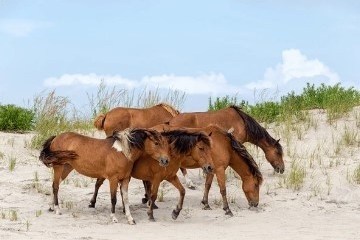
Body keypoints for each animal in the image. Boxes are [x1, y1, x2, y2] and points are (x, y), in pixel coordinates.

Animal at [38, 128, 171, 224]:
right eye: (156, 143)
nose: (166, 160)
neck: (122, 152)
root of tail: (56, 137)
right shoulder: (113, 179)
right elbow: (113, 199)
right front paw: (114, 218)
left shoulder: (125, 179)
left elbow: (125, 199)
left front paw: (130, 219)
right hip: (58, 167)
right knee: (55, 187)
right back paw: (57, 210)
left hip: (67, 168)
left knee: (55, 185)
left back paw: (51, 207)